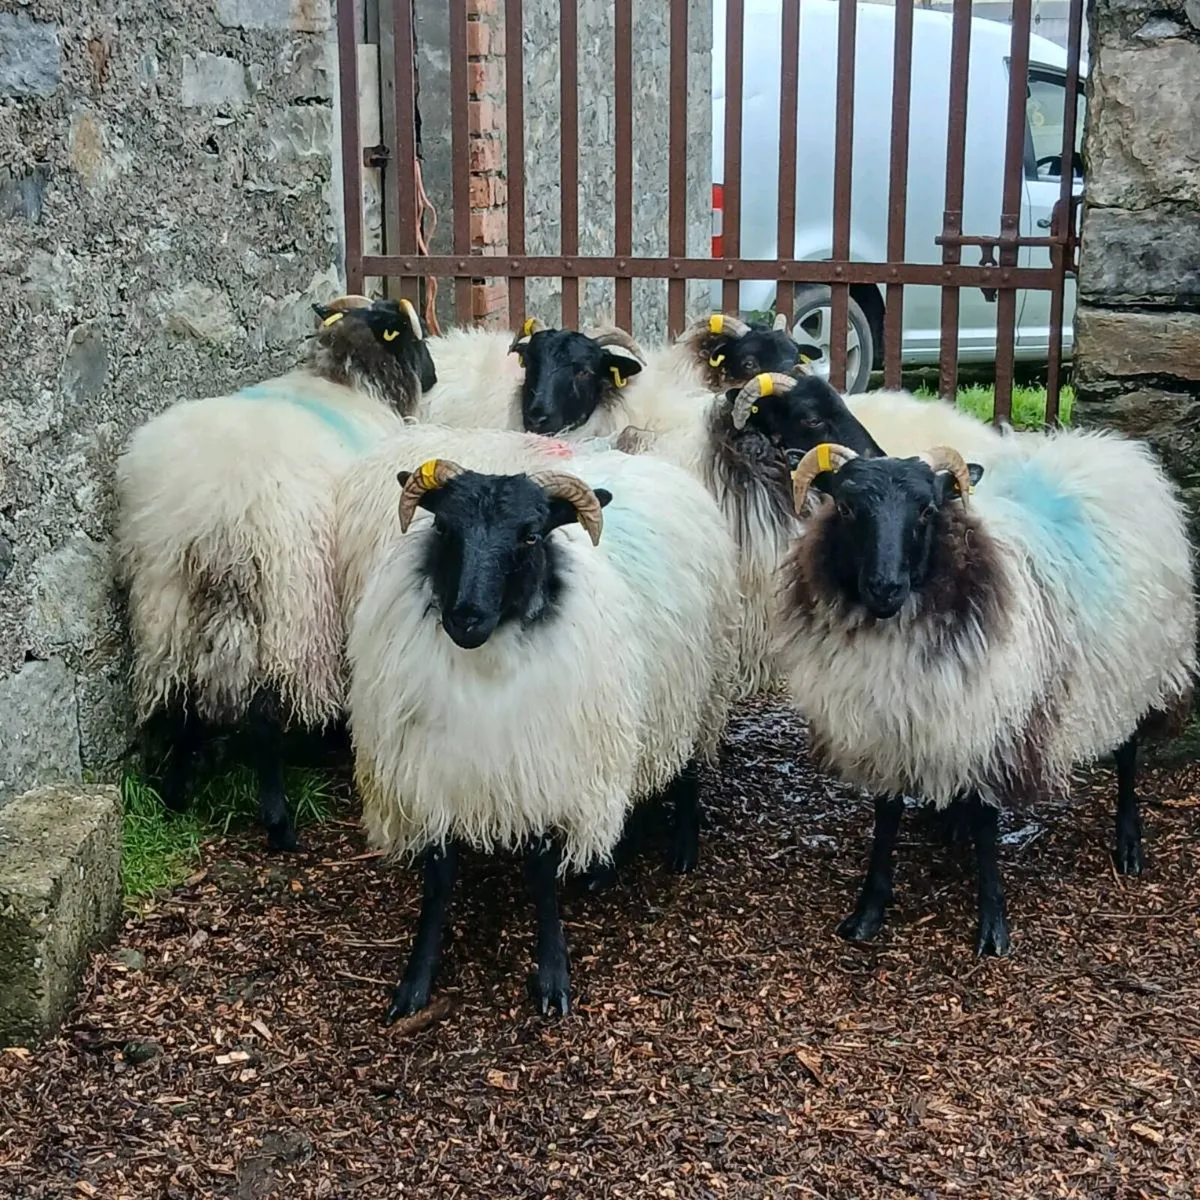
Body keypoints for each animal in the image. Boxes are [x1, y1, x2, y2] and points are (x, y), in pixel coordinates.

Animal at [116, 294, 436, 852]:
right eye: (413, 337)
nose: (435, 376)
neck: (348, 380)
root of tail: (220, 512)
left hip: (168, 599)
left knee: (183, 698)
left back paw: (175, 796)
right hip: (288, 602)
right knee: (264, 713)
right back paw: (279, 821)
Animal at [340, 435, 740, 1018]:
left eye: (530, 535)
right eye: (445, 529)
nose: (465, 618)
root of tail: (648, 462)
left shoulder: (546, 765)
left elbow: (540, 872)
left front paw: (553, 976)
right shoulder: (434, 773)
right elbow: (439, 880)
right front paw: (415, 981)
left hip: (693, 689)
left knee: (685, 765)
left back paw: (682, 848)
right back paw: (603, 868)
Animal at [774, 431, 1196, 956]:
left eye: (928, 510)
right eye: (847, 508)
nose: (885, 588)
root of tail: (1111, 448)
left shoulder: (990, 720)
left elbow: (986, 823)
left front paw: (994, 925)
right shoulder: (889, 725)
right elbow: (887, 817)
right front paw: (868, 911)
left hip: (1133, 670)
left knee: (1127, 751)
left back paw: (1129, 843)